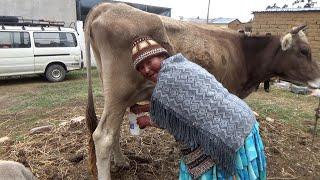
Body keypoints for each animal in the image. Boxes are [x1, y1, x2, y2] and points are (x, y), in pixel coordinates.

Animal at [84, 2, 318, 179]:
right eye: (304, 51)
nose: (318, 78)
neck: (243, 52)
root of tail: (107, 7)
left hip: (114, 93)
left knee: (113, 130)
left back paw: (121, 161)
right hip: (119, 92)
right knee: (103, 136)